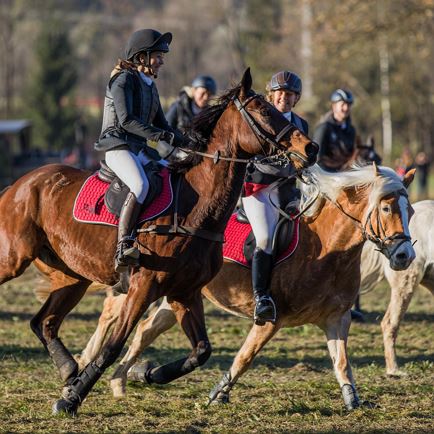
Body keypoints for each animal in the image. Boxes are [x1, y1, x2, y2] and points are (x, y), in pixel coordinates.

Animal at [0, 69, 318, 416]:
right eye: (263, 110)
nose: (311, 147)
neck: (194, 209)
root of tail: (20, 183)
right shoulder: (143, 287)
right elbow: (113, 347)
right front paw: (71, 399)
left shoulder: (184, 293)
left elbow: (201, 351)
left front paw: (148, 373)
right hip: (13, 260)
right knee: (43, 318)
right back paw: (72, 378)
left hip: (72, 276)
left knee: (43, 323)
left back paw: (70, 371)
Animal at [69, 163, 416, 410]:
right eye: (387, 208)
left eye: (411, 210)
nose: (405, 256)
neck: (328, 248)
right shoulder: (271, 319)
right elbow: (245, 357)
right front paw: (218, 394)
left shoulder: (336, 319)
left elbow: (342, 363)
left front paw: (353, 401)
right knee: (116, 318)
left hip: (176, 296)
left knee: (144, 330)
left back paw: (122, 380)